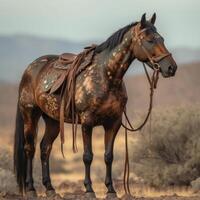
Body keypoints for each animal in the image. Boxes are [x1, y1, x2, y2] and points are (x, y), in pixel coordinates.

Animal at [14, 13, 177, 198]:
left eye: (162, 38)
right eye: (149, 40)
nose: (171, 68)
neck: (106, 76)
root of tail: (30, 69)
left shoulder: (113, 123)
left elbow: (108, 156)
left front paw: (111, 190)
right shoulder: (87, 122)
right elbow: (88, 156)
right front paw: (89, 190)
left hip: (52, 120)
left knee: (44, 148)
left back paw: (50, 189)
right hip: (30, 115)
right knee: (30, 148)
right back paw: (31, 189)